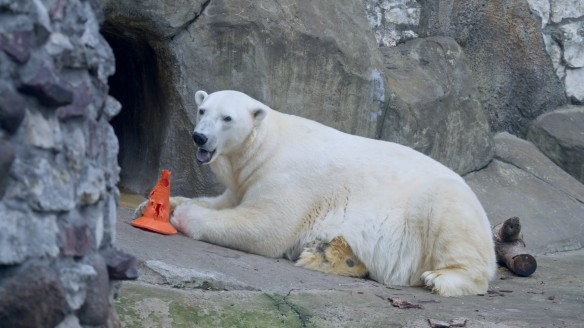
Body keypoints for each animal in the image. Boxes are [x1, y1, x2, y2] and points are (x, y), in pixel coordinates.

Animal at [135, 89, 496, 298]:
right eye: (203, 110)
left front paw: (184, 215)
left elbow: (265, 227)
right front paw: (157, 204)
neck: (267, 144)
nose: (199, 137)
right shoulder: (244, 181)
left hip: (443, 203)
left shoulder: (287, 177)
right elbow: (226, 201)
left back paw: (440, 279)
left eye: (227, 118)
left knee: (450, 225)